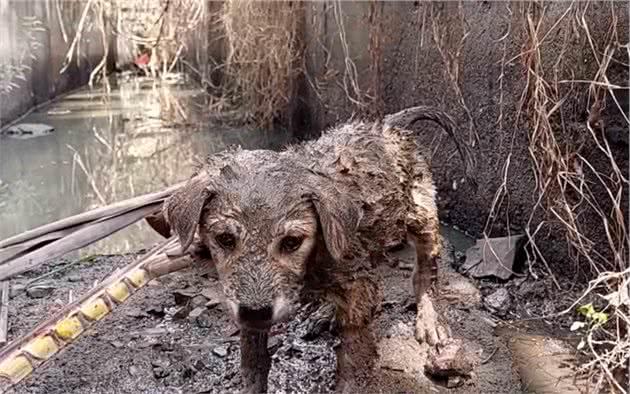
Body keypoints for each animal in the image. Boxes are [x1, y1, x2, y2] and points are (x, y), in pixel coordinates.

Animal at [146, 106, 476, 392]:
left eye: (292, 242)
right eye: (225, 239)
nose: (256, 312)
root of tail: (388, 126)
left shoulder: (357, 285)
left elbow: (353, 354)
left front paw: (349, 382)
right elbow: (252, 358)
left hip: (420, 212)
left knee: (426, 269)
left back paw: (429, 318)